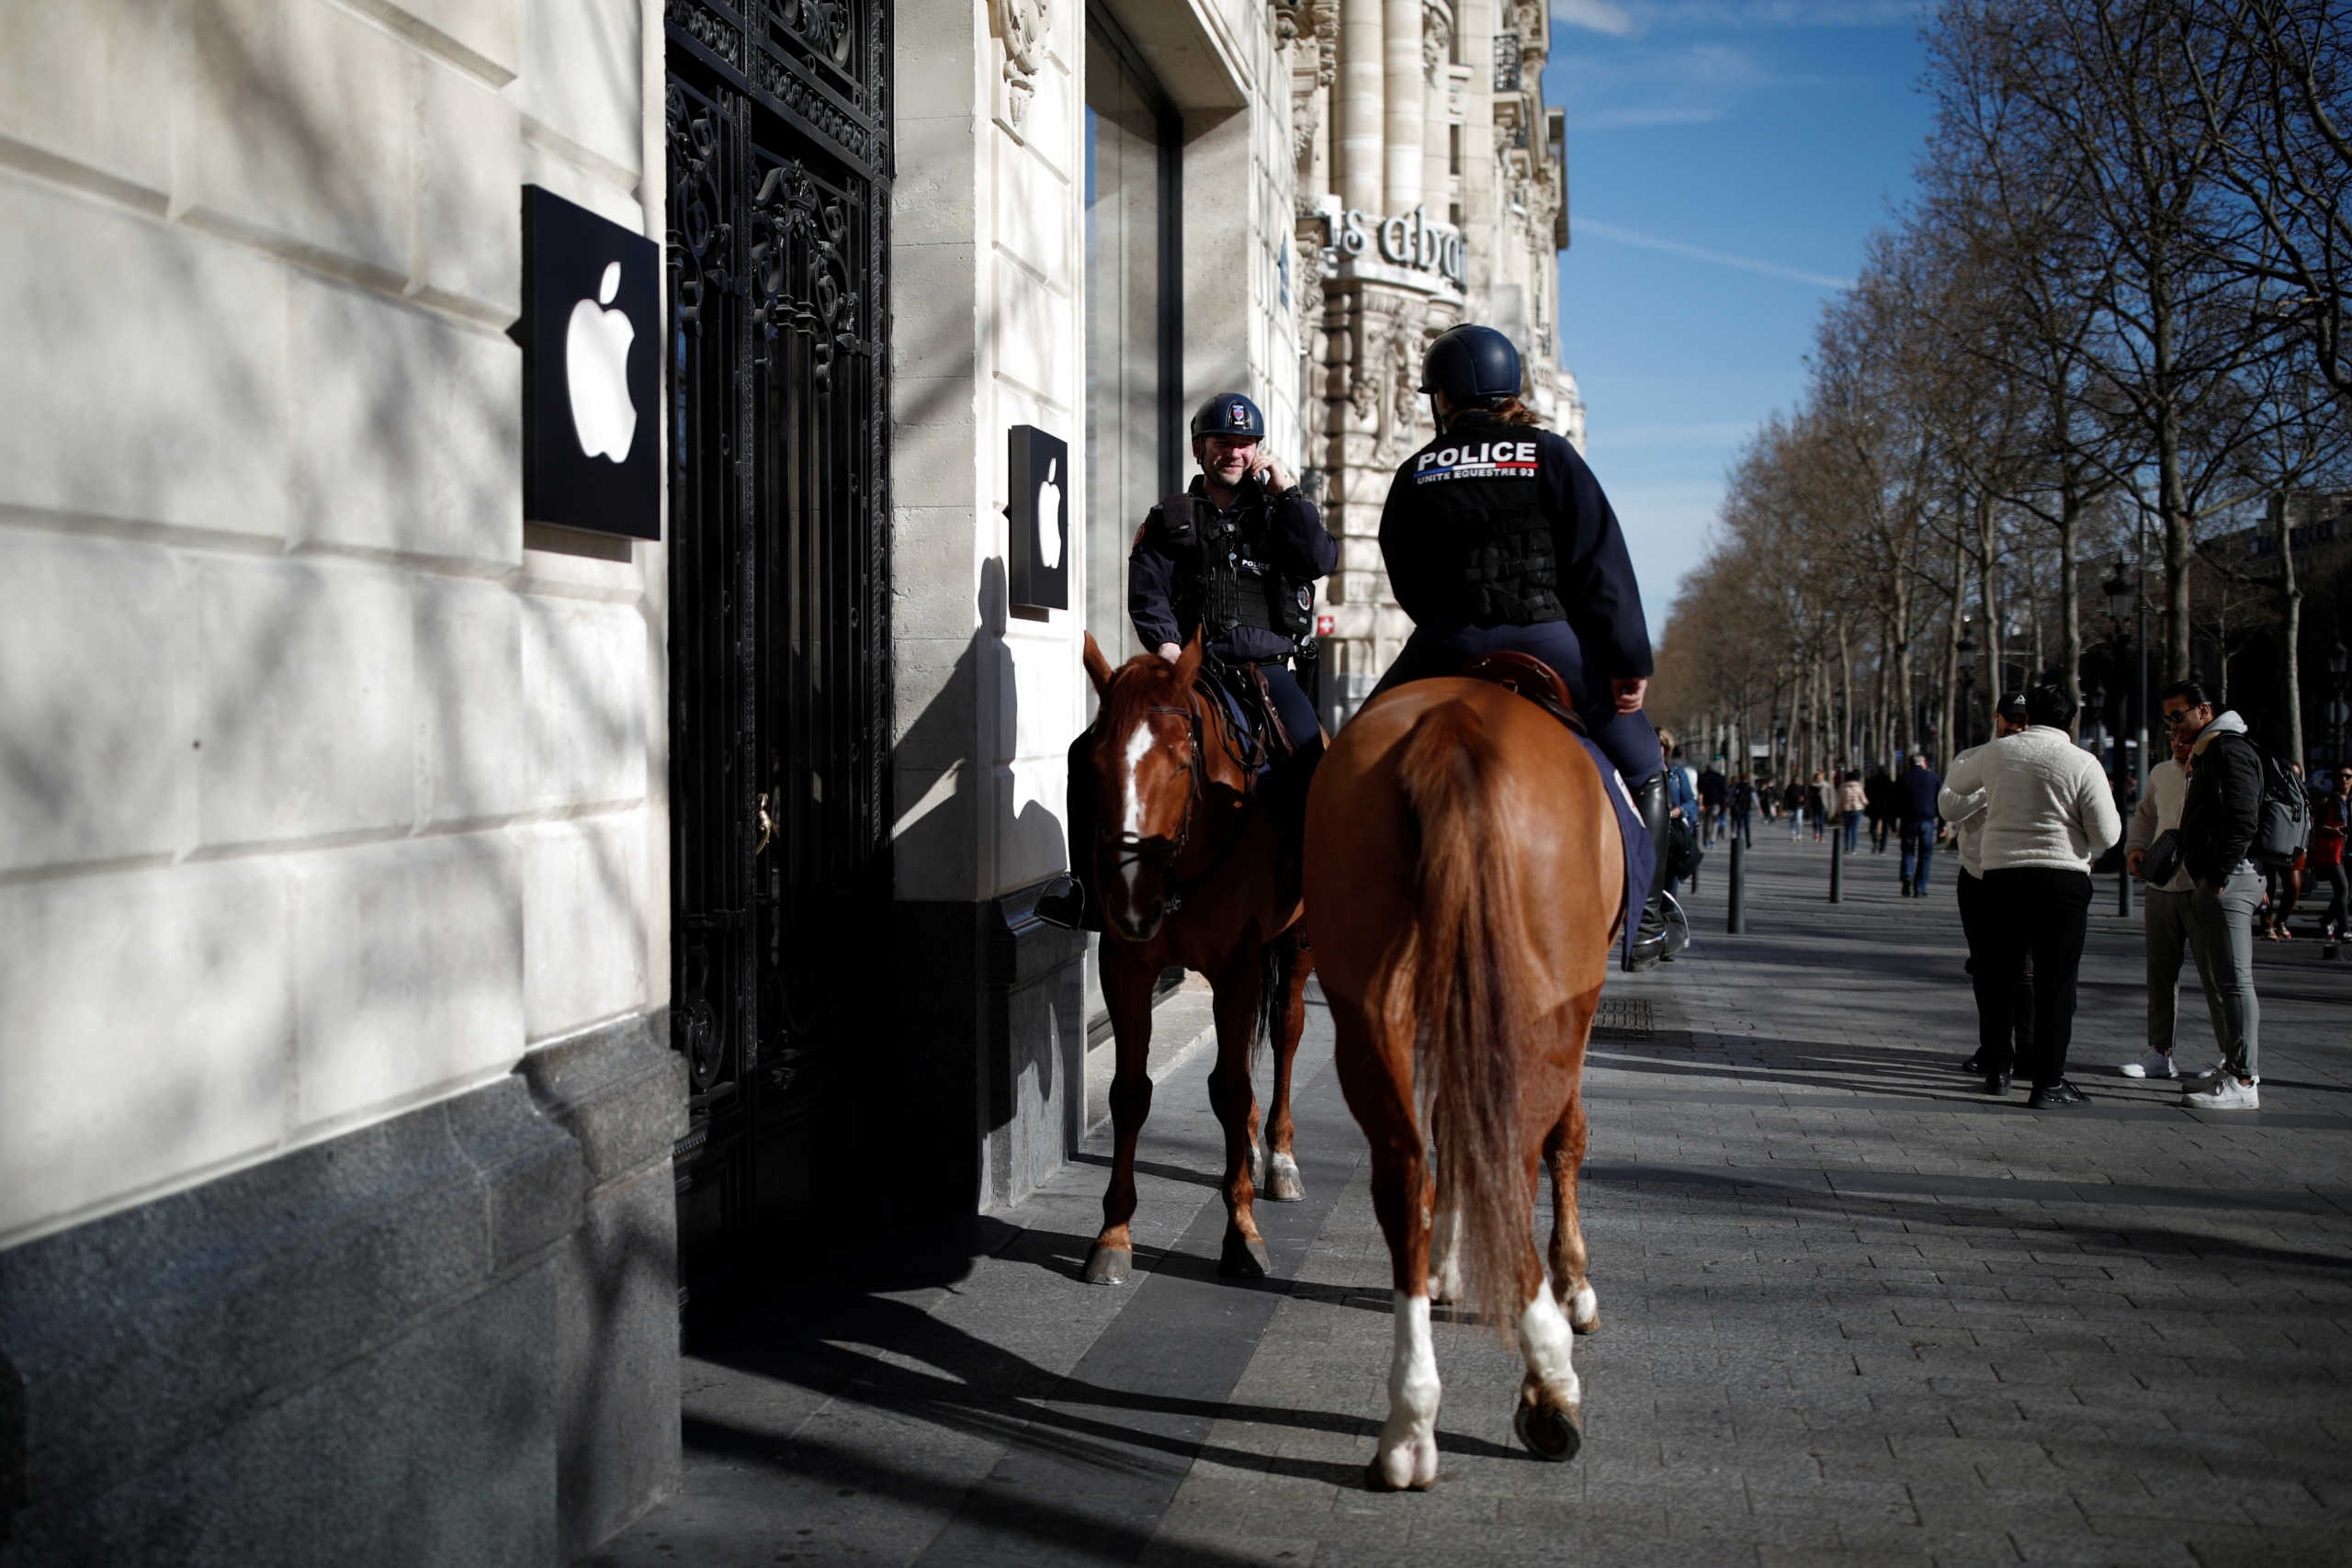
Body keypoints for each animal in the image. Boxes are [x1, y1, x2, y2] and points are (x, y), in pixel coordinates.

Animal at [1077, 634, 1317, 1288]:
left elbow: (1232, 1088)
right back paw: (1255, 1150)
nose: (1131, 898)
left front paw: (1242, 1234)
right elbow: (1131, 1093)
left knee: (1285, 1031)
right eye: (1094, 763)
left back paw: (1279, 1158)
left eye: (1181, 763)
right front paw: (1113, 1234)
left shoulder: (1237, 967)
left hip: (1296, 943)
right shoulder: (1125, 967)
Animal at [1298, 682, 1627, 1495]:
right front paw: (1574, 1285)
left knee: (1403, 1169)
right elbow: (1564, 1138)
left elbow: (1451, 1121)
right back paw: (1549, 1381)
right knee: (1512, 1159)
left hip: (1366, 1000)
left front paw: (1446, 1263)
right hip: (1550, 1003)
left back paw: (1411, 1418)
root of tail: (1454, 723)